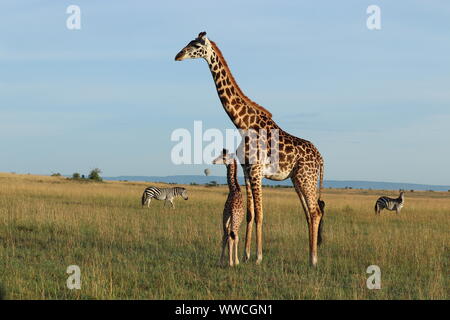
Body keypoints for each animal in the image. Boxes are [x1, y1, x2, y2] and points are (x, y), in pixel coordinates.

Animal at [174, 31, 326, 266]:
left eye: (196, 45)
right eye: (188, 42)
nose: (178, 56)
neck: (242, 123)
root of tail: (320, 158)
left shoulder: (256, 170)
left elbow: (261, 214)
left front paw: (258, 257)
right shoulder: (247, 171)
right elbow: (250, 214)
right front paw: (245, 255)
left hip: (306, 178)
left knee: (315, 211)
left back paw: (313, 260)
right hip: (297, 179)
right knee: (309, 212)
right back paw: (310, 256)